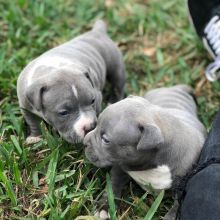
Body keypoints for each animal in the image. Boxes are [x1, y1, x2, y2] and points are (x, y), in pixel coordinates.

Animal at [84, 84, 206, 218]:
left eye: (105, 140)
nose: (84, 142)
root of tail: (176, 87)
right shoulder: (120, 165)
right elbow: (113, 184)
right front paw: (104, 206)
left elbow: (176, 208)